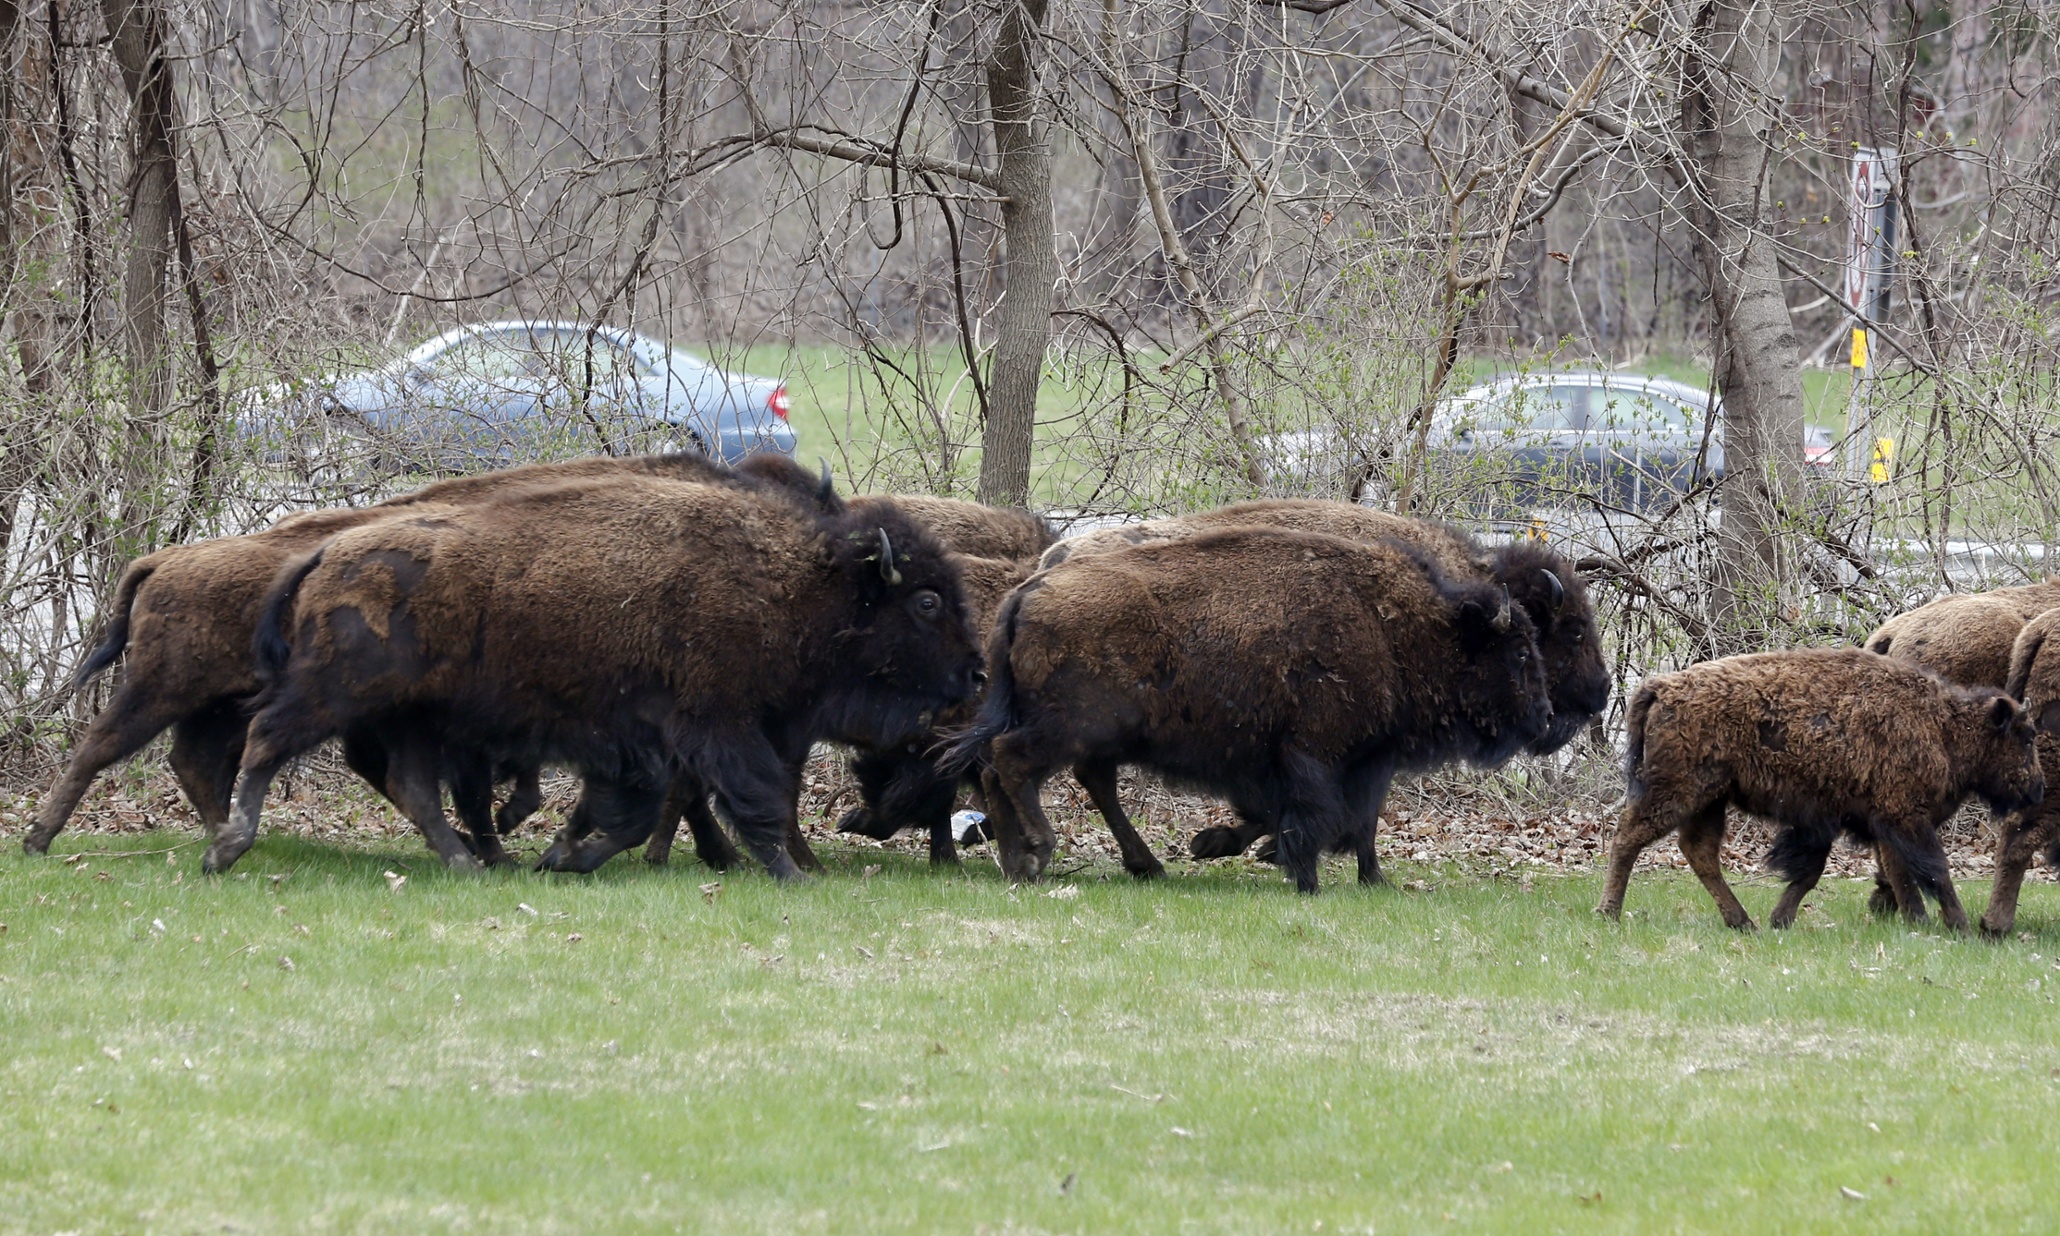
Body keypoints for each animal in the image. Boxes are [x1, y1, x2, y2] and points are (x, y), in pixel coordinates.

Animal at [28, 449, 782, 865]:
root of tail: (163, 560)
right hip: (160, 691)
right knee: (103, 747)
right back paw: (41, 837)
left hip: (214, 707)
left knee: (196, 761)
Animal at [229, 465, 984, 877]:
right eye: (926, 600)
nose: (976, 673)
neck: (793, 580)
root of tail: (326, 552)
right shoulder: (716, 725)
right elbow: (756, 800)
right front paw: (792, 876)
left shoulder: (641, 743)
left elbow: (637, 811)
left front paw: (562, 855)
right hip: (334, 694)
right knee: (266, 740)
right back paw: (227, 847)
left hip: (409, 716)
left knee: (414, 787)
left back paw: (470, 861)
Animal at [943, 525, 1549, 894]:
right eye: (1520, 652)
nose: (1544, 718)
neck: (1394, 628)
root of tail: (1026, 592)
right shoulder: (1314, 754)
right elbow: (1319, 816)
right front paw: (1302, 875)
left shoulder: (1355, 758)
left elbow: (1349, 821)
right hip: (1070, 728)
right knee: (1013, 763)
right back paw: (1039, 852)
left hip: (1089, 734)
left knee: (1024, 773)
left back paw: (1045, 862)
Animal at [1590, 650, 2043, 931]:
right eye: (2025, 737)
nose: (2037, 789)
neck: (1943, 724)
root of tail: (1660, 687)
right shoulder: (1905, 817)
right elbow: (1934, 871)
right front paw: (1958, 927)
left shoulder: (1872, 820)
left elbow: (1862, 872)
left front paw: (1781, 919)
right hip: (1677, 793)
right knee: (1629, 837)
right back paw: (1608, 912)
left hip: (1710, 801)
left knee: (1698, 852)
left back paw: (1744, 923)